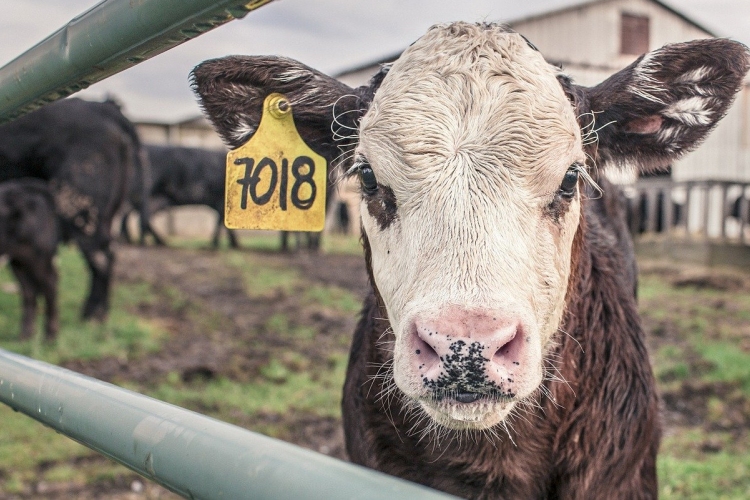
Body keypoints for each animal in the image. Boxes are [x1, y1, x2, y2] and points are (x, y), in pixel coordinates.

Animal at [0, 97, 144, 320]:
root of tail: (103, 107)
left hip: (79, 207)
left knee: (101, 257)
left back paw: (92, 314)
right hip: (104, 213)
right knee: (108, 253)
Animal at [0, 178, 59, 338]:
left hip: (38, 256)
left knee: (50, 283)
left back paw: (50, 335)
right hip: (18, 260)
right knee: (29, 289)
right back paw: (26, 334)